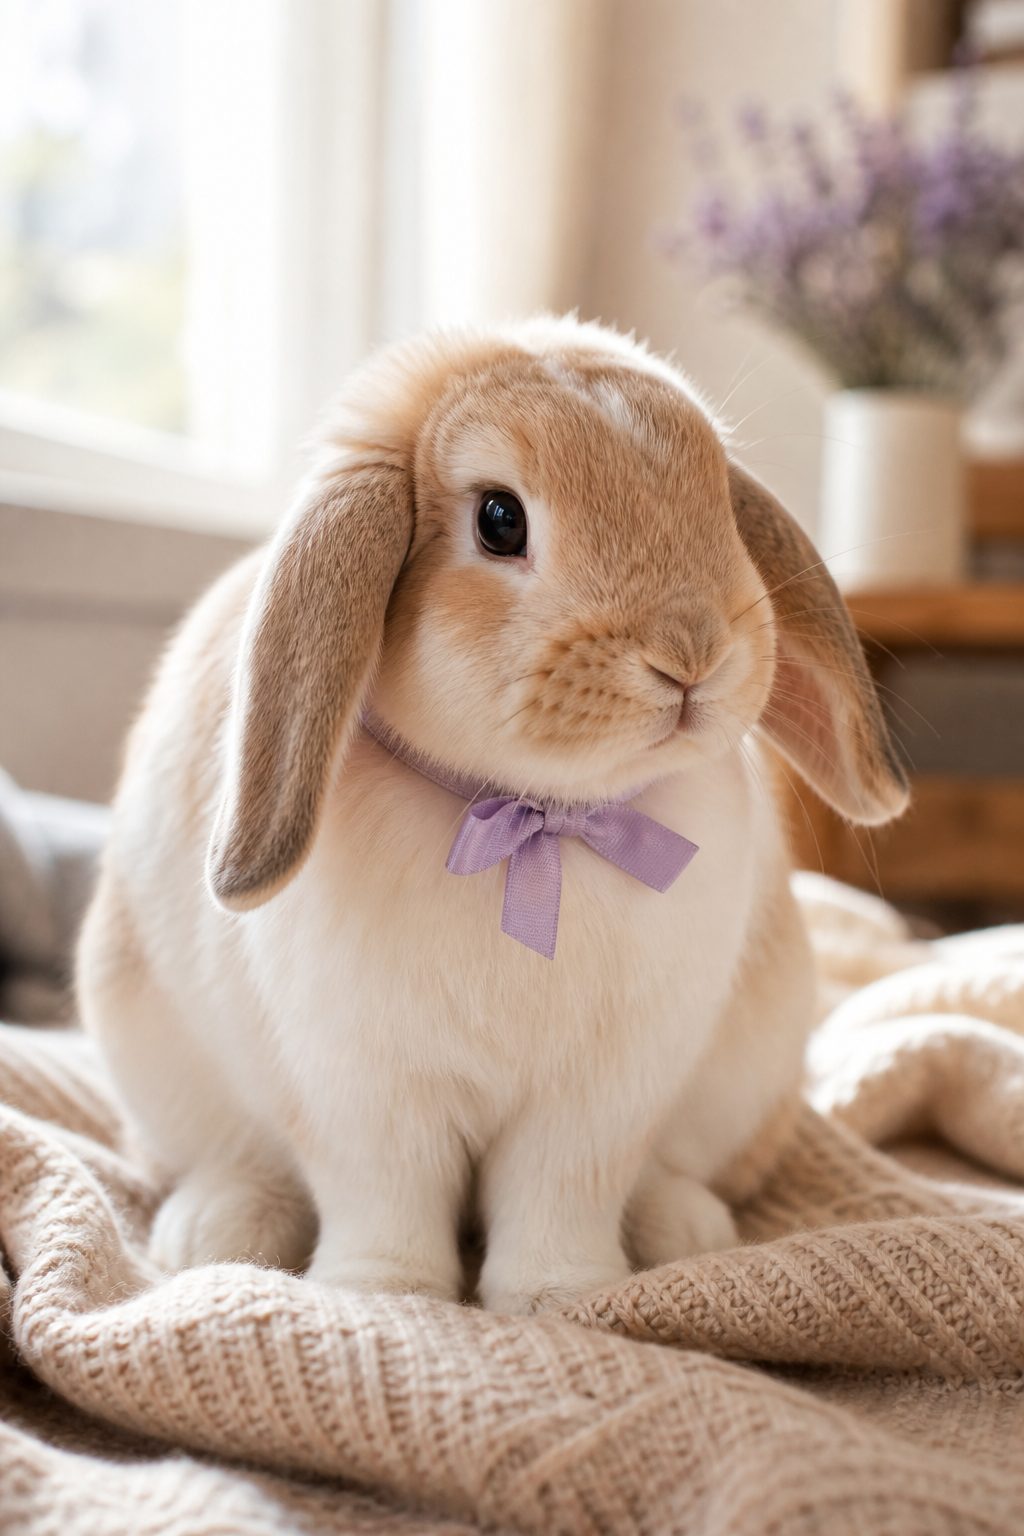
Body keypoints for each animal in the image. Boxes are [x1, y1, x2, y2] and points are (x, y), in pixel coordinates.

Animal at [77, 315, 908, 1315]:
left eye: (717, 505)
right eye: (499, 519)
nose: (692, 655)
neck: (532, 819)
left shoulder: (599, 1101)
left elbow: (561, 1191)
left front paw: (556, 1299)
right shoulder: (364, 1090)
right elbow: (383, 1192)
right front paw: (386, 1293)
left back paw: (683, 1229)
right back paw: (212, 1227)